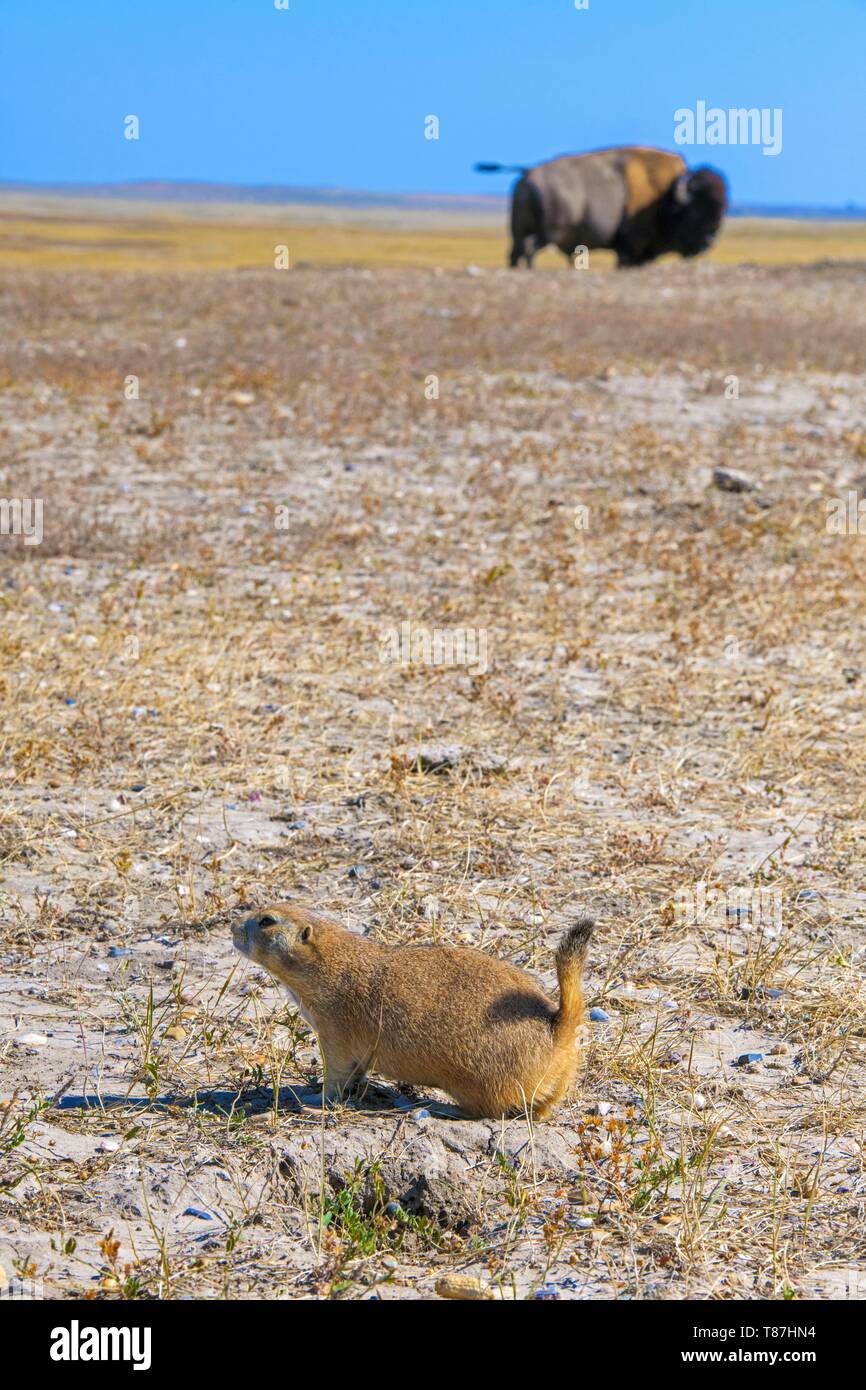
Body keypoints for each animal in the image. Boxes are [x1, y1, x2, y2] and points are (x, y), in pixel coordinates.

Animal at [478, 146, 728, 268]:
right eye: (696, 211)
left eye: (722, 209)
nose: (709, 240)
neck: (665, 196)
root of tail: (528, 172)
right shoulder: (630, 248)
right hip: (550, 232)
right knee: (529, 249)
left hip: (519, 229)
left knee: (515, 252)